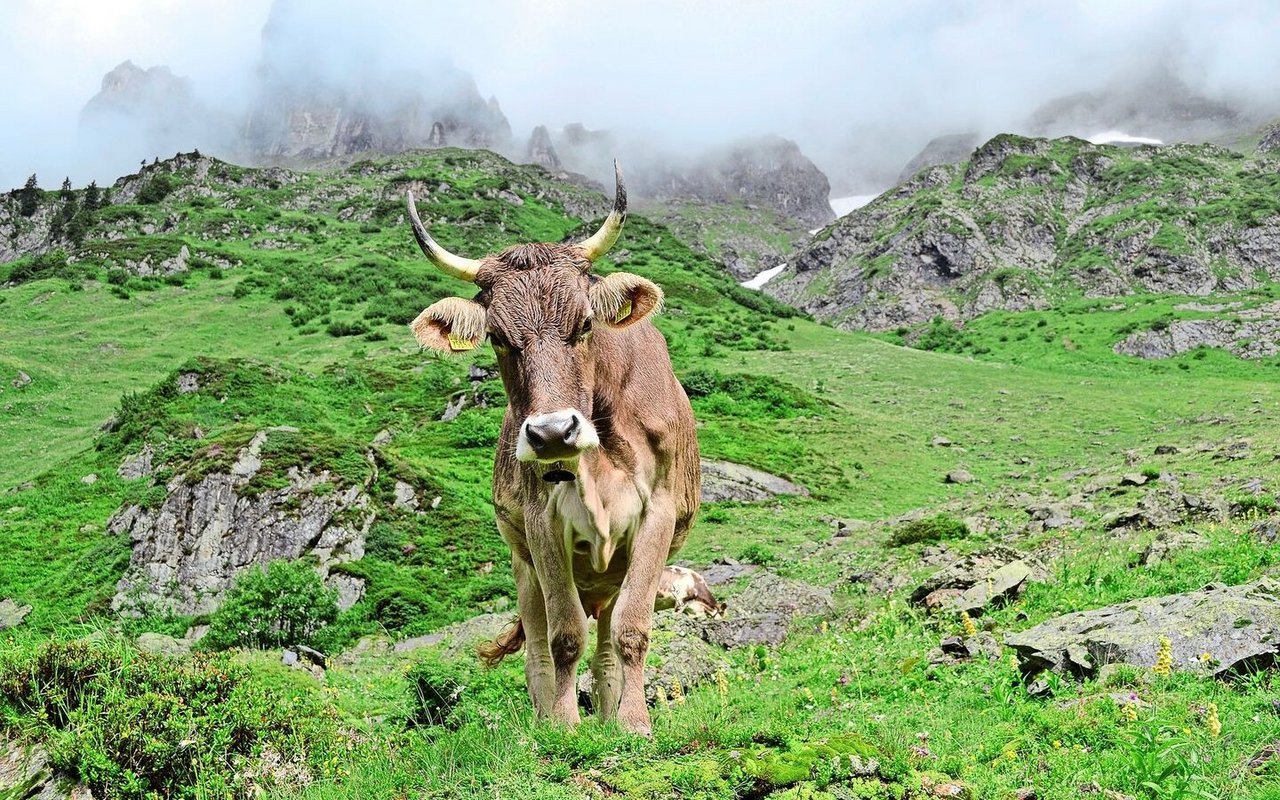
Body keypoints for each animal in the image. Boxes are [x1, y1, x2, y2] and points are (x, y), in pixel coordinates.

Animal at [404, 163, 701, 737]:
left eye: (585, 324)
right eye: (498, 337)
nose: (550, 434)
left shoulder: (657, 512)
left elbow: (632, 630)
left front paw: (633, 724)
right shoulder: (543, 522)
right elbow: (564, 636)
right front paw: (562, 726)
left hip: (612, 575)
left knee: (608, 645)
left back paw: (608, 716)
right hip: (522, 565)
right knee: (538, 649)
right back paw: (544, 721)